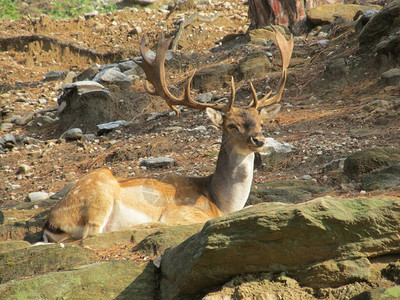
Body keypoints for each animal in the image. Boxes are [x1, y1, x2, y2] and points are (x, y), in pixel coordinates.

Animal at [43, 27, 294, 243]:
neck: (221, 203)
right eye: (231, 125)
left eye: (260, 122)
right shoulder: (186, 211)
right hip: (100, 190)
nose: (258, 139)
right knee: (91, 233)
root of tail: (51, 224)